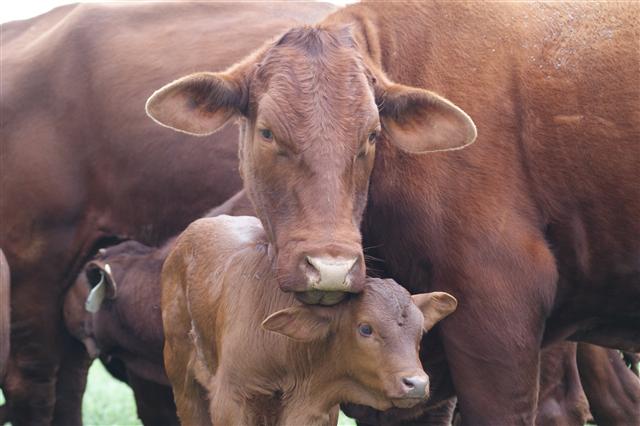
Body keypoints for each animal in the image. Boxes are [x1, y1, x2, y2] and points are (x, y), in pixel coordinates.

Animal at [160, 216, 458, 426]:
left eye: (420, 332)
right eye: (365, 328)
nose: (416, 383)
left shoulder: (321, 408)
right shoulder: (230, 400)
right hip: (182, 379)